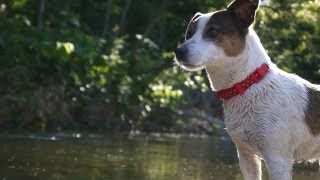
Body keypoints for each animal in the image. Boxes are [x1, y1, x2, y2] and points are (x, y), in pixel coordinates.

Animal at [175, 0, 320, 180]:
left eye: (213, 31)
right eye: (189, 33)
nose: (178, 51)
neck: (248, 85)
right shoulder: (246, 157)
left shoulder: (278, 159)